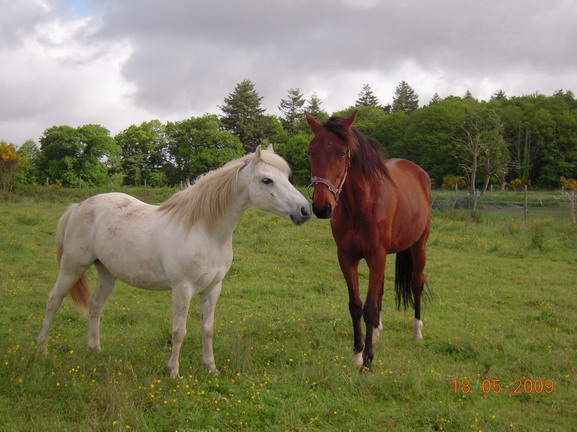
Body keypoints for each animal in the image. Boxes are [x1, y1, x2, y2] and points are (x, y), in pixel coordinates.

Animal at [36, 145, 310, 374]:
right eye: (266, 180)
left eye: (287, 177)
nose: (305, 211)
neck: (205, 231)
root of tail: (79, 206)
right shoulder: (183, 288)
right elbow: (179, 331)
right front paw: (174, 372)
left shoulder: (213, 288)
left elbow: (207, 330)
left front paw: (211, 368)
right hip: (73, 266)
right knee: (53, 301)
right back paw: (43, 349)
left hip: (107, 273)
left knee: (95, 307)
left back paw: (95, 350)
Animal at [304, 111, 430, 372]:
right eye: (311, 152)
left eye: (342, 153)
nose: (322, 207)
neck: (361, 204)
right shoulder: (346, 257)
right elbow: (356, 305)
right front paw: (357, 354)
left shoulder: (376, 255)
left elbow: (369, 308)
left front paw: (368, 362)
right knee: (380, 290)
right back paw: (378, 332)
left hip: (418, 246)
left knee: (417, 284)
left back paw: (417, 332)